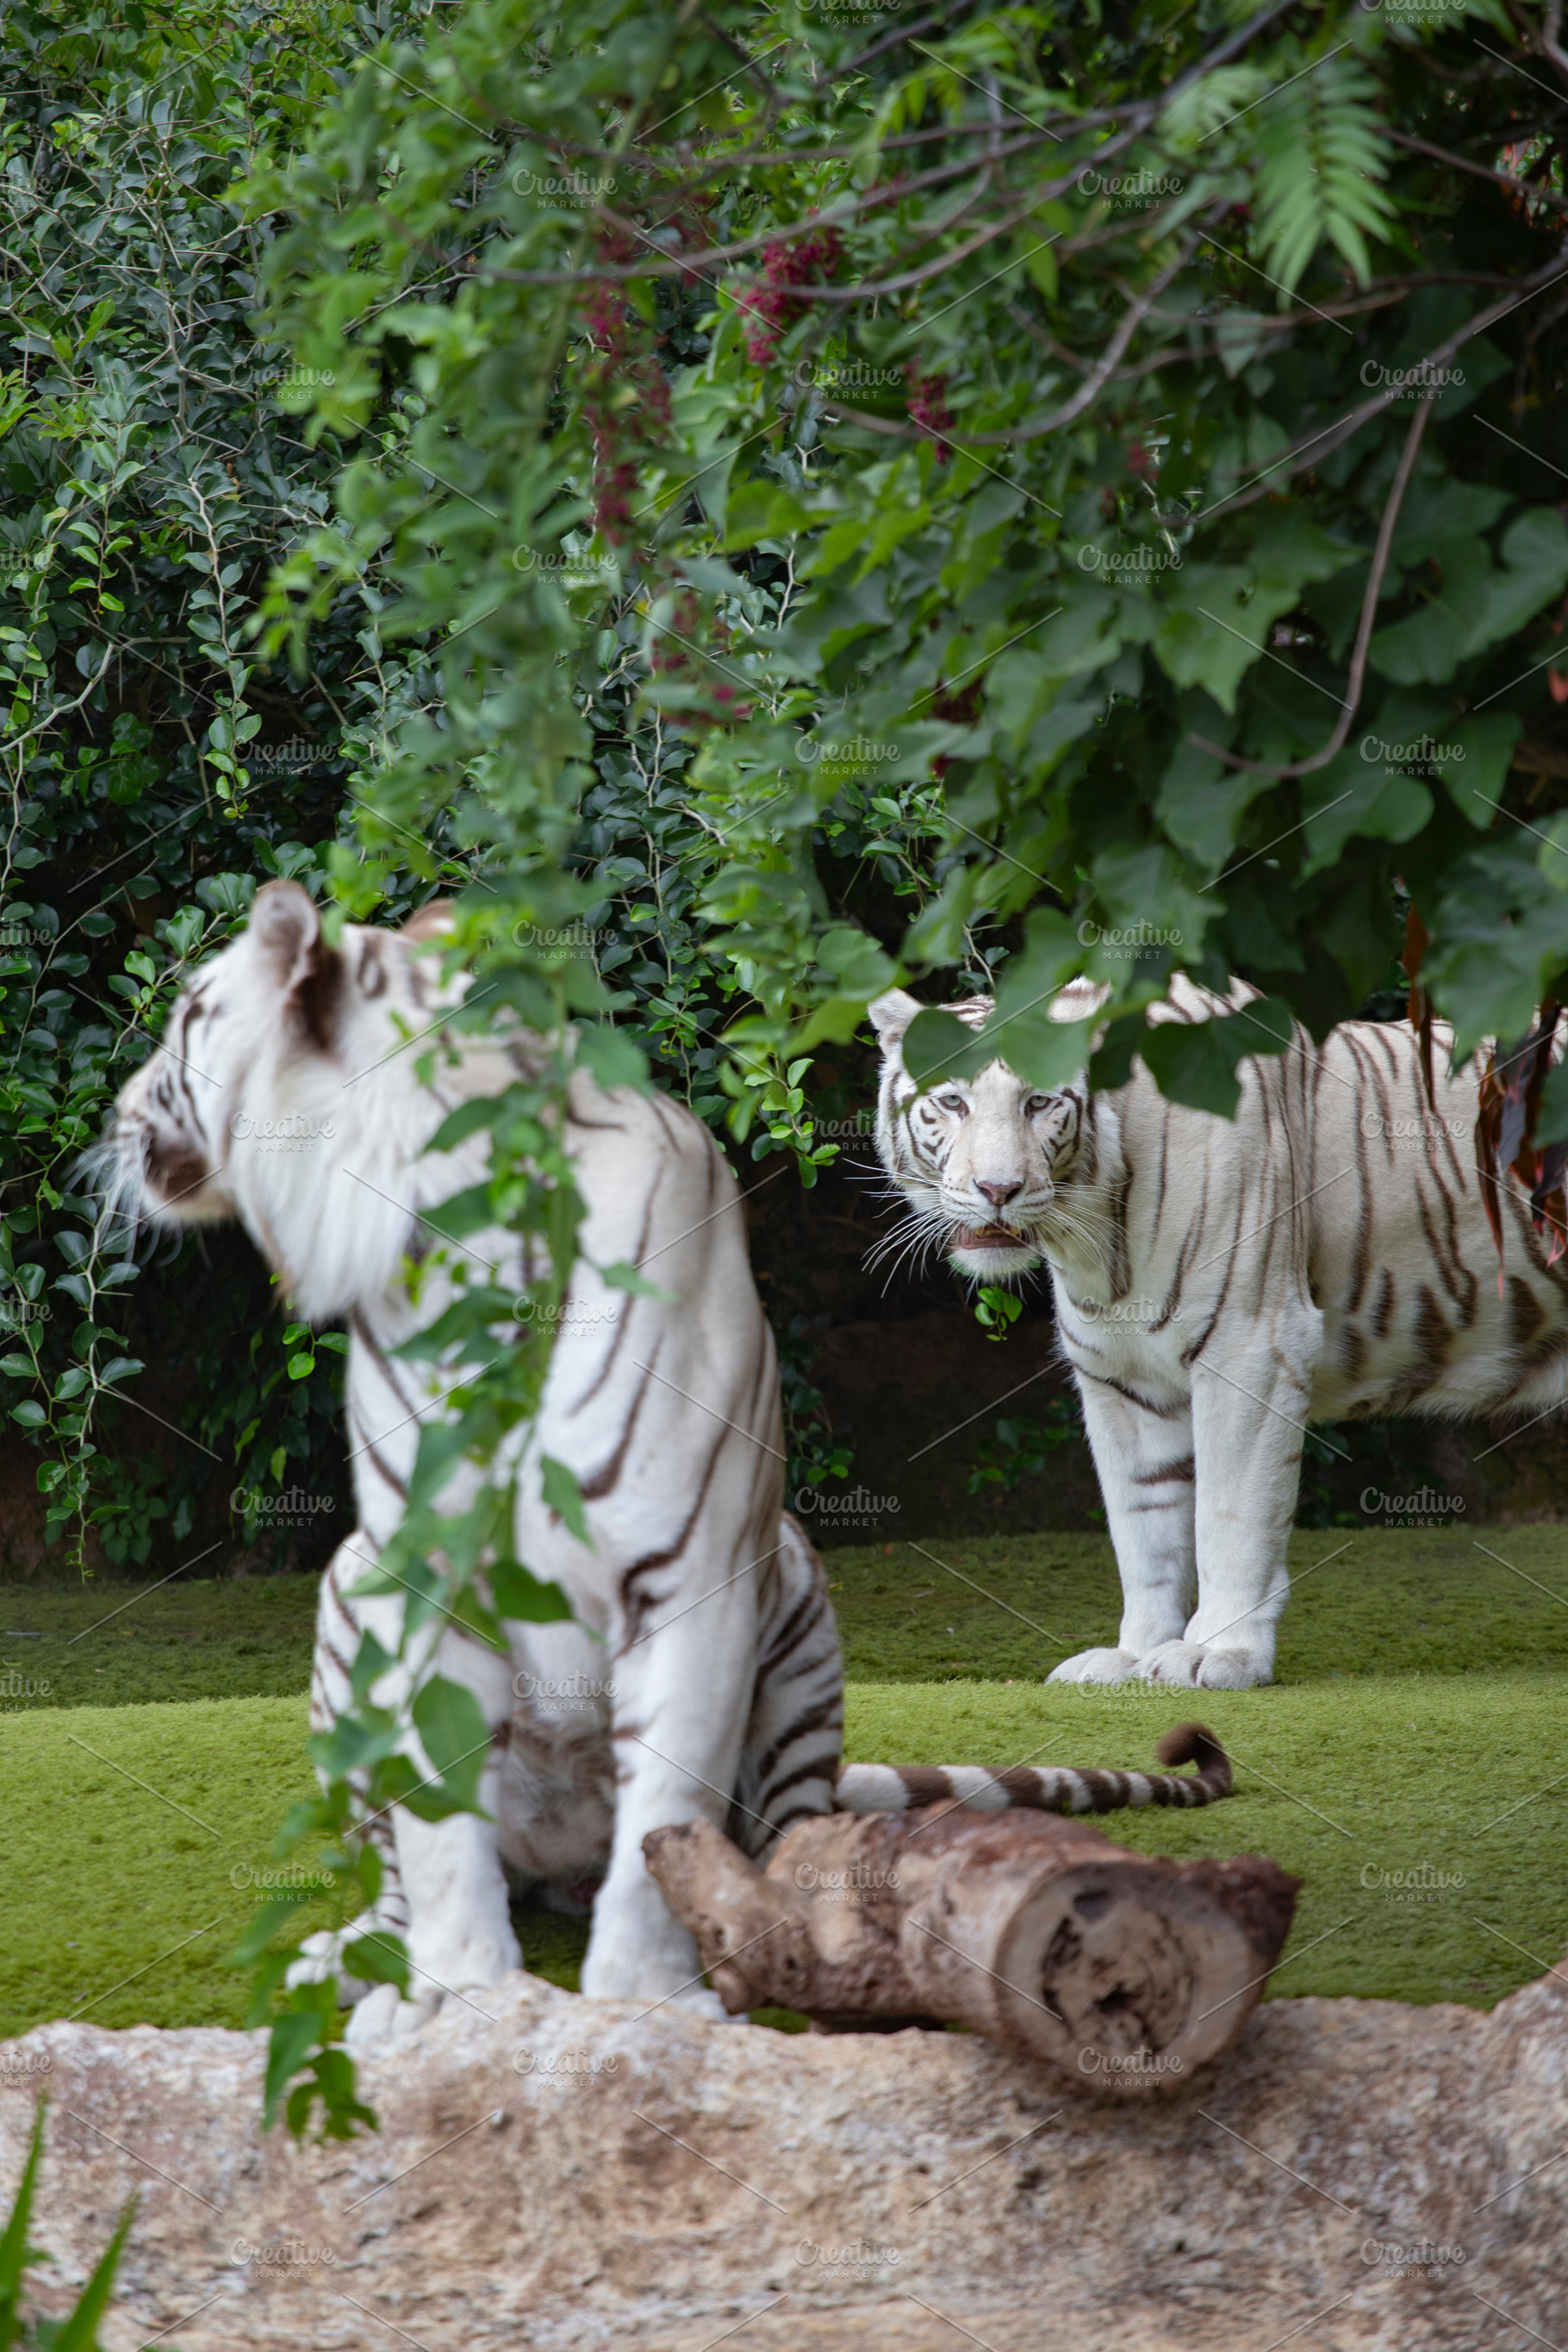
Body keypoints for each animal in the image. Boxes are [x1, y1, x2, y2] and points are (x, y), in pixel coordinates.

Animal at [103, 882, 1236, 2038]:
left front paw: (642, 2007)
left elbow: (665, 1808)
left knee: (778, 1844)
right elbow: (439, 1840)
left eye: (187, 1016)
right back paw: (359, 1961)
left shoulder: (694, 1577)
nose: (117, 1110)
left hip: (792, 1613)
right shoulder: (422, 1573)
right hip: (350, 1586)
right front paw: (455, 1997)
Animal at [870, 973, 1568, 1691]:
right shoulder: (1120, 1379)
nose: (998, 1188)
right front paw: (1132, 1655)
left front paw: (1219, 1653)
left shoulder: (1251, 1348)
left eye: (1039, 1102)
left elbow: (1229, 1517)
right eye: (952, 1101)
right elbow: (1142, 1529)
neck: (1093, 1241)